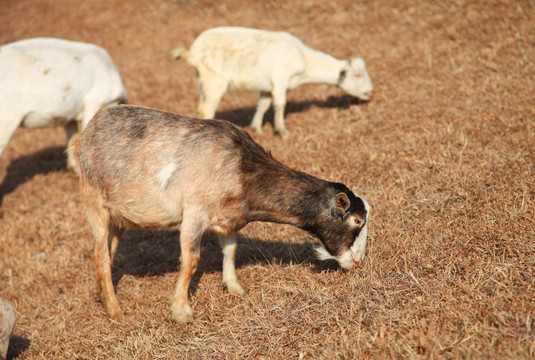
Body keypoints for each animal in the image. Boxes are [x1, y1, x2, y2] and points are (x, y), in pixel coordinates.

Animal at [73, 105, 370, 322]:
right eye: (356, 221)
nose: (357, 262)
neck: (242, 170)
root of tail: (87, 131)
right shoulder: (194, 214)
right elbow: (192, 260)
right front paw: (181, 310)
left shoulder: (228, 219)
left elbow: (231, 249)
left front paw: (234, 287)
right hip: (93, 199)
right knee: (100, 254)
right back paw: (115, 311)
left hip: (119, 216)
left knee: (108, 251)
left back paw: (104, 296)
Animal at [171, 26, 372, 138]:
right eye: (357, 75)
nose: (371, 92)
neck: (304, 59)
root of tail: (193, 51)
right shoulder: (280, 80)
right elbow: (280, 104)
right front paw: (283, 132)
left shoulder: (267, 87)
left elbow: (263, 105)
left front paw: (257, 129)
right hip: (215, 81)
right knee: (207, 110)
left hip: (202, 81)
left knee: (201, 108)